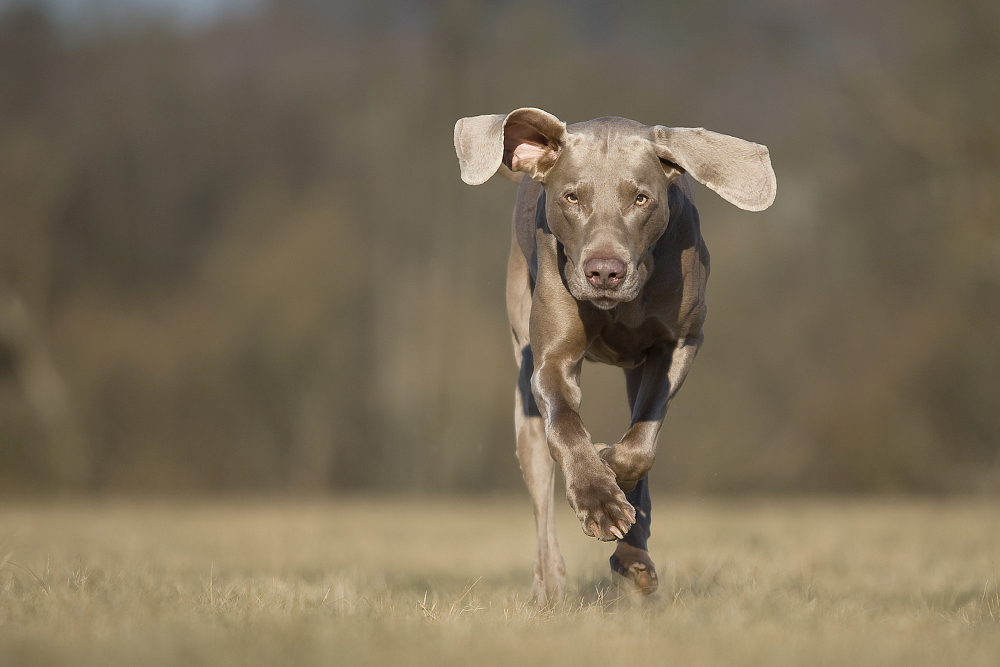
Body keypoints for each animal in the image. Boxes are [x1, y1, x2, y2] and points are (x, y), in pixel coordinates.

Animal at [452, 109, 772, 604]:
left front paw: (610, 469)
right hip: (525, 393)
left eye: (641, 198)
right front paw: (598, 499)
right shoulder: (552, 359)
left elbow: (639, 447)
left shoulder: (679, 343)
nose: (604, 271)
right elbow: (566, 424)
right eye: (571, 196)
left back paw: (634, 557)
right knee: (541, 491)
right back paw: (550, 586)